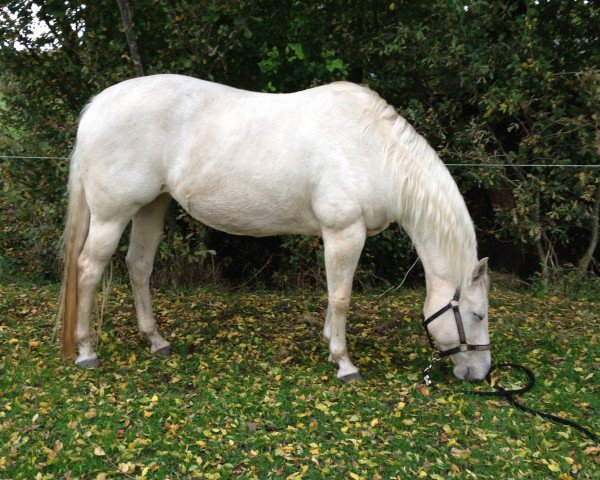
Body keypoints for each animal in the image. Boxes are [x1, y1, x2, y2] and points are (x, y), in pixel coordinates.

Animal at [59, 75, 492, 382]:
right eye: (478, 315)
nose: (481, 374)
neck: (374, 149)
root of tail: (97, 107)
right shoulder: (344, 232)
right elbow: (342, 298)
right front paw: (344, 363)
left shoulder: (337, 237)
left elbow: (332, 294)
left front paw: (329, 341)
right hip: (112, 216)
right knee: (89, 270)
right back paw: (86, 351)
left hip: (151, 208)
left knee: (138, 267)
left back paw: (156, 340)